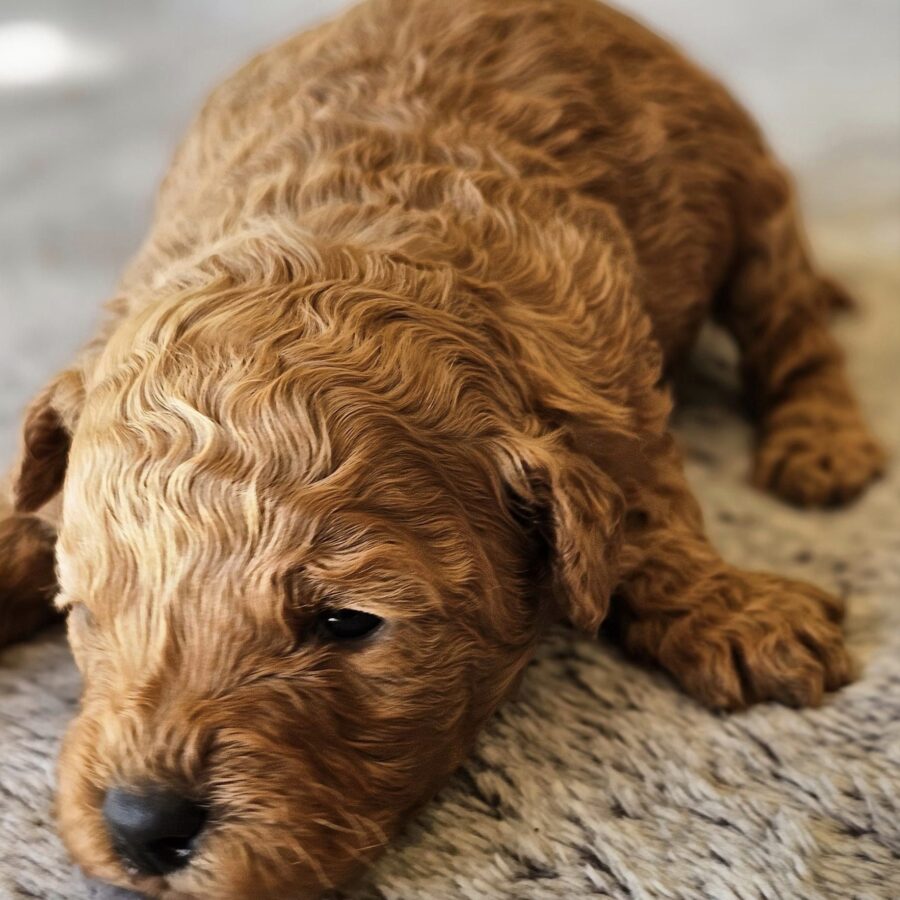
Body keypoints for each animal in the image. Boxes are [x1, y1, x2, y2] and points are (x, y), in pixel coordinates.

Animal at [0, 0, 884, 896]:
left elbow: (644, 501)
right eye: (85, 610)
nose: (144, 828)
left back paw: (822, 448)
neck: (340, 240)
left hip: (747, 191)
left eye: (346, 622)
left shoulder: (605, 374)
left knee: (792, 325)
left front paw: (730, 611)